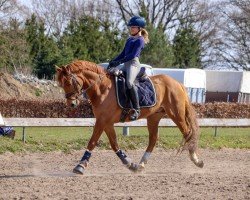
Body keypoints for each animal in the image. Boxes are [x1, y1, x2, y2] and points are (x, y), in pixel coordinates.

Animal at [56, 60, 203, 174]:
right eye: (61, 84)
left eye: (68, 83)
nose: (72, 104)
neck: (102, 88)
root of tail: (177, 83)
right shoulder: (106, 122)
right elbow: (114, 144)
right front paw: (130, 164)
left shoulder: (102, 121)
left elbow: (92, 141)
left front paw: (80, 166)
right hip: (154, 117)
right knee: (153, 138)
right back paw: (141, 164)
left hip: (176, 114)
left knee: (187, 132)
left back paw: (197, 160)